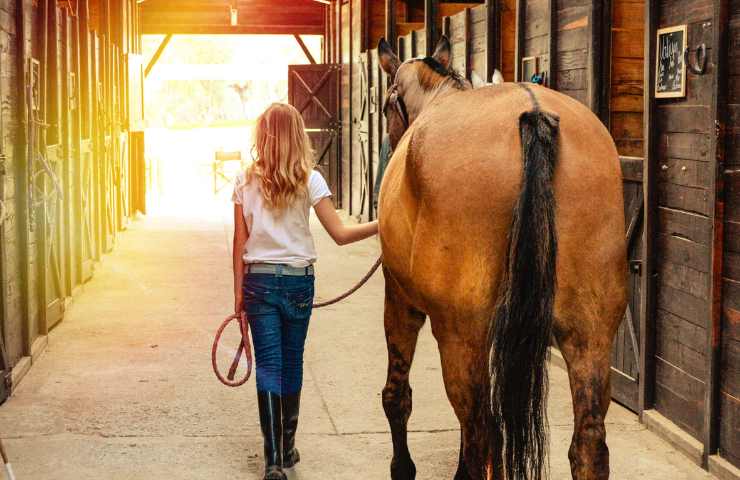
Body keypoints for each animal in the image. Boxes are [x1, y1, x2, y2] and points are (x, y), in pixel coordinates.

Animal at [376, 37, 624, 480]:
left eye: (389, 105)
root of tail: (534, 114)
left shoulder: (400, 300)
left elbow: (397, 396)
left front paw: (402, 467)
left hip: (460, 336)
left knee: (481, 431)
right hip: (590, 334)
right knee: (587, 444)